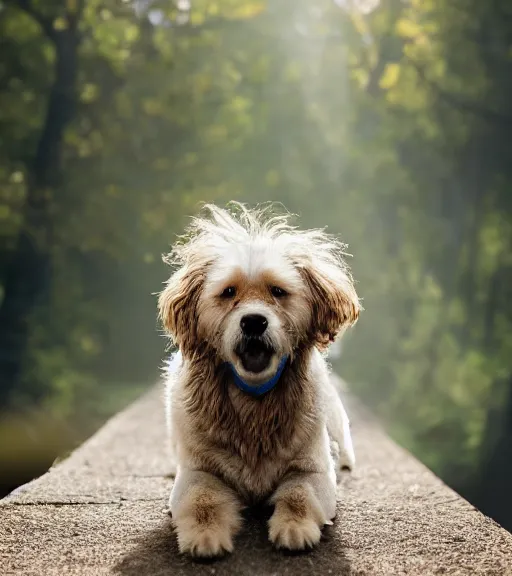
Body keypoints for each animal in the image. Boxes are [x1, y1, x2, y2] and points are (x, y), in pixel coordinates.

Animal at [158, 204, 362, 560]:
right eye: (228, 292)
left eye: (278, 292)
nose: (253, 322)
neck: (254, 401)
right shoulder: (198, 472)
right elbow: (203, 500)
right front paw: (205, 537)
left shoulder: (313, 471)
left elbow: (299, 495)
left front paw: (294, 529)